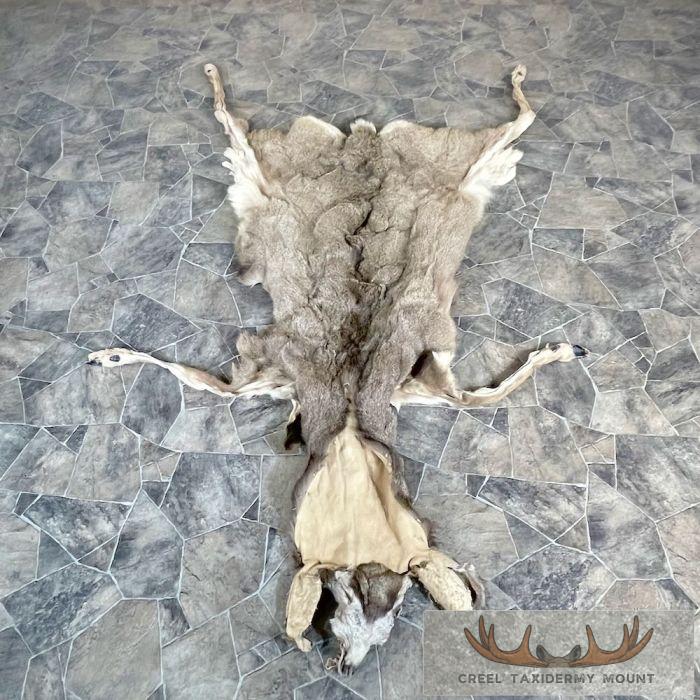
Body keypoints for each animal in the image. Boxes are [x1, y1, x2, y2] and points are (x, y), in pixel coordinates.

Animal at [87, 62, 588, 672]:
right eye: (348, 597)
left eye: (393, 613)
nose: (343, 663)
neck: (349, 425)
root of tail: (364, 141)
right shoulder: (282, 373)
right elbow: (216, 387)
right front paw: (111, 355)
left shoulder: (400, 387)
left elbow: (481, 396)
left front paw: (559, 352)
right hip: (287, 175)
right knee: (238, 129)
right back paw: (214, 79)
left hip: (460, 173)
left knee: (517, 123)